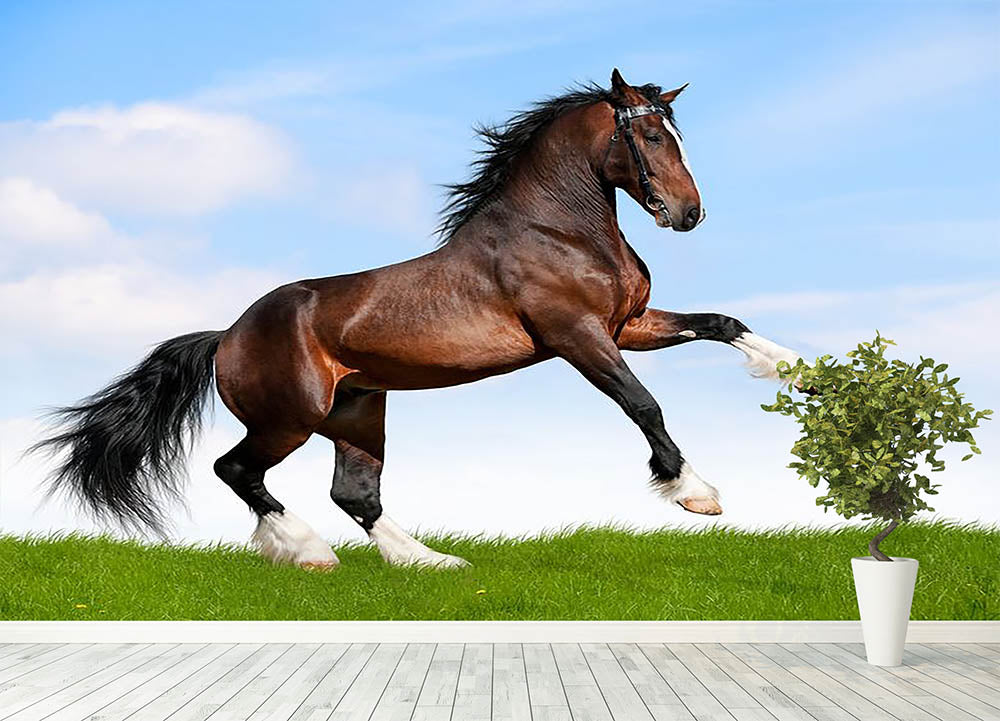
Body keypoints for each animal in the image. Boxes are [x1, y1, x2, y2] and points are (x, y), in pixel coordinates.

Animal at [34, 69, 802, 569]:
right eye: (647, 135)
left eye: (675, 132)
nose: (689, 213)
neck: (559, 230)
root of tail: (226, 336)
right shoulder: (578, 337)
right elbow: (644, 404)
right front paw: (696, 494)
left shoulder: (627, 326)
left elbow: (721, 322)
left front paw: (790, 368)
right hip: (290, 418)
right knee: (238, 470)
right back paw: (308, 552)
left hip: (357, 411)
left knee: (354, 492)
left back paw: (431, 562)